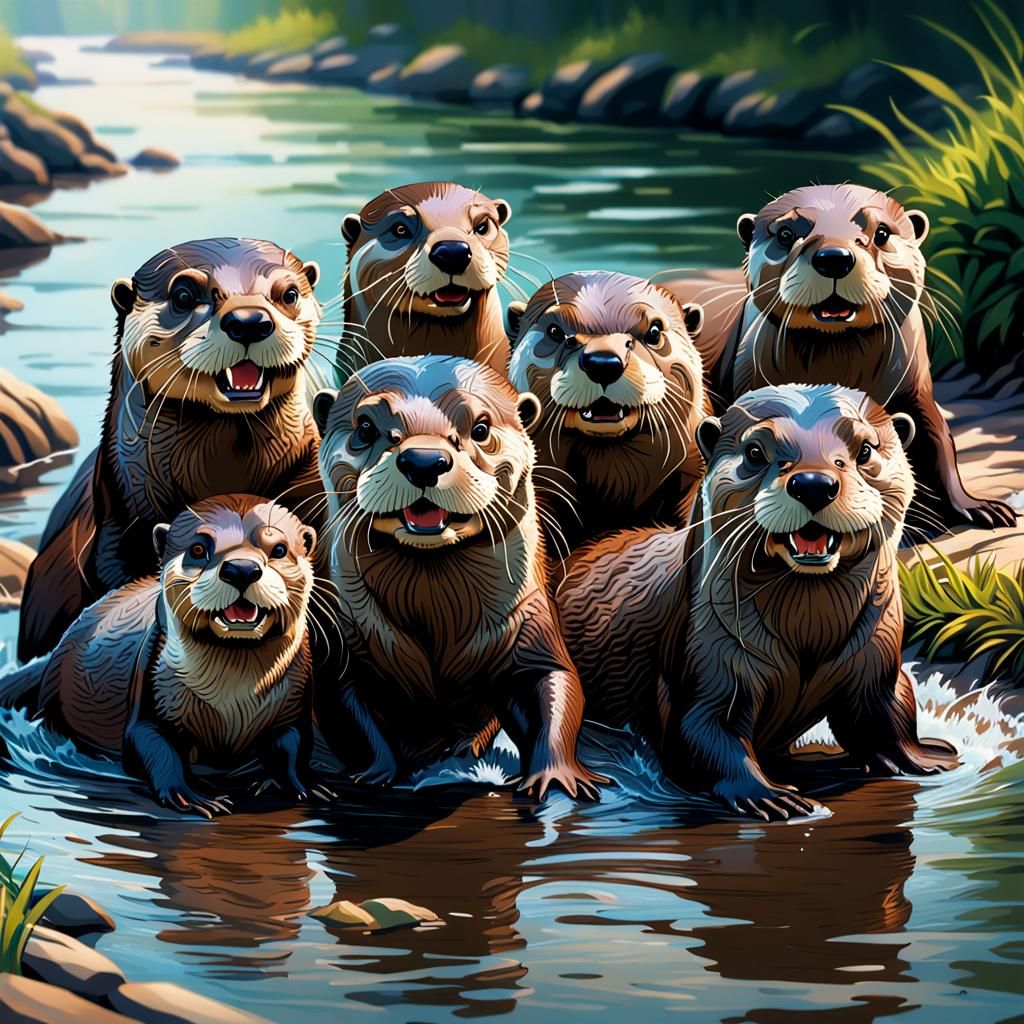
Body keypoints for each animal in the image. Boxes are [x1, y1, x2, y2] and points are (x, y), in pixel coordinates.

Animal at [2, 495, 322, 817]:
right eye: (197, 549)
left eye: (279, 549)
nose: (241, 569)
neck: (233, 699)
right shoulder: (151, 684)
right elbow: (149, 742)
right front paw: (191, 795)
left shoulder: (296, 696)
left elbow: (294, 743)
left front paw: (303, 784)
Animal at [313, 355, 605, 800]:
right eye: (365, 428)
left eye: (480, 428)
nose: (423, 461)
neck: (440, 614)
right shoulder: (344, 635)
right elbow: (352, 712)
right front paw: (377, 772)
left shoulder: (529, 620)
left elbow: (557, 685)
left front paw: (556, 775)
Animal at [558, 384, 958, 819]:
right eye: (754, 452)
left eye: (865, 449)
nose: (813, 483)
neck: (809, 633)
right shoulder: (705, 665)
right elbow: (701, 731)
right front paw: (767, 793)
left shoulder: (878, 656)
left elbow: (889, 710)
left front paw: (923, 757)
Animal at [678, 183, 1015, 535]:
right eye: (785, 234)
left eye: (881, 232)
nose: (834, 258)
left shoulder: (916, 390)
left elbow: (938, 442)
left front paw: (975, 507)